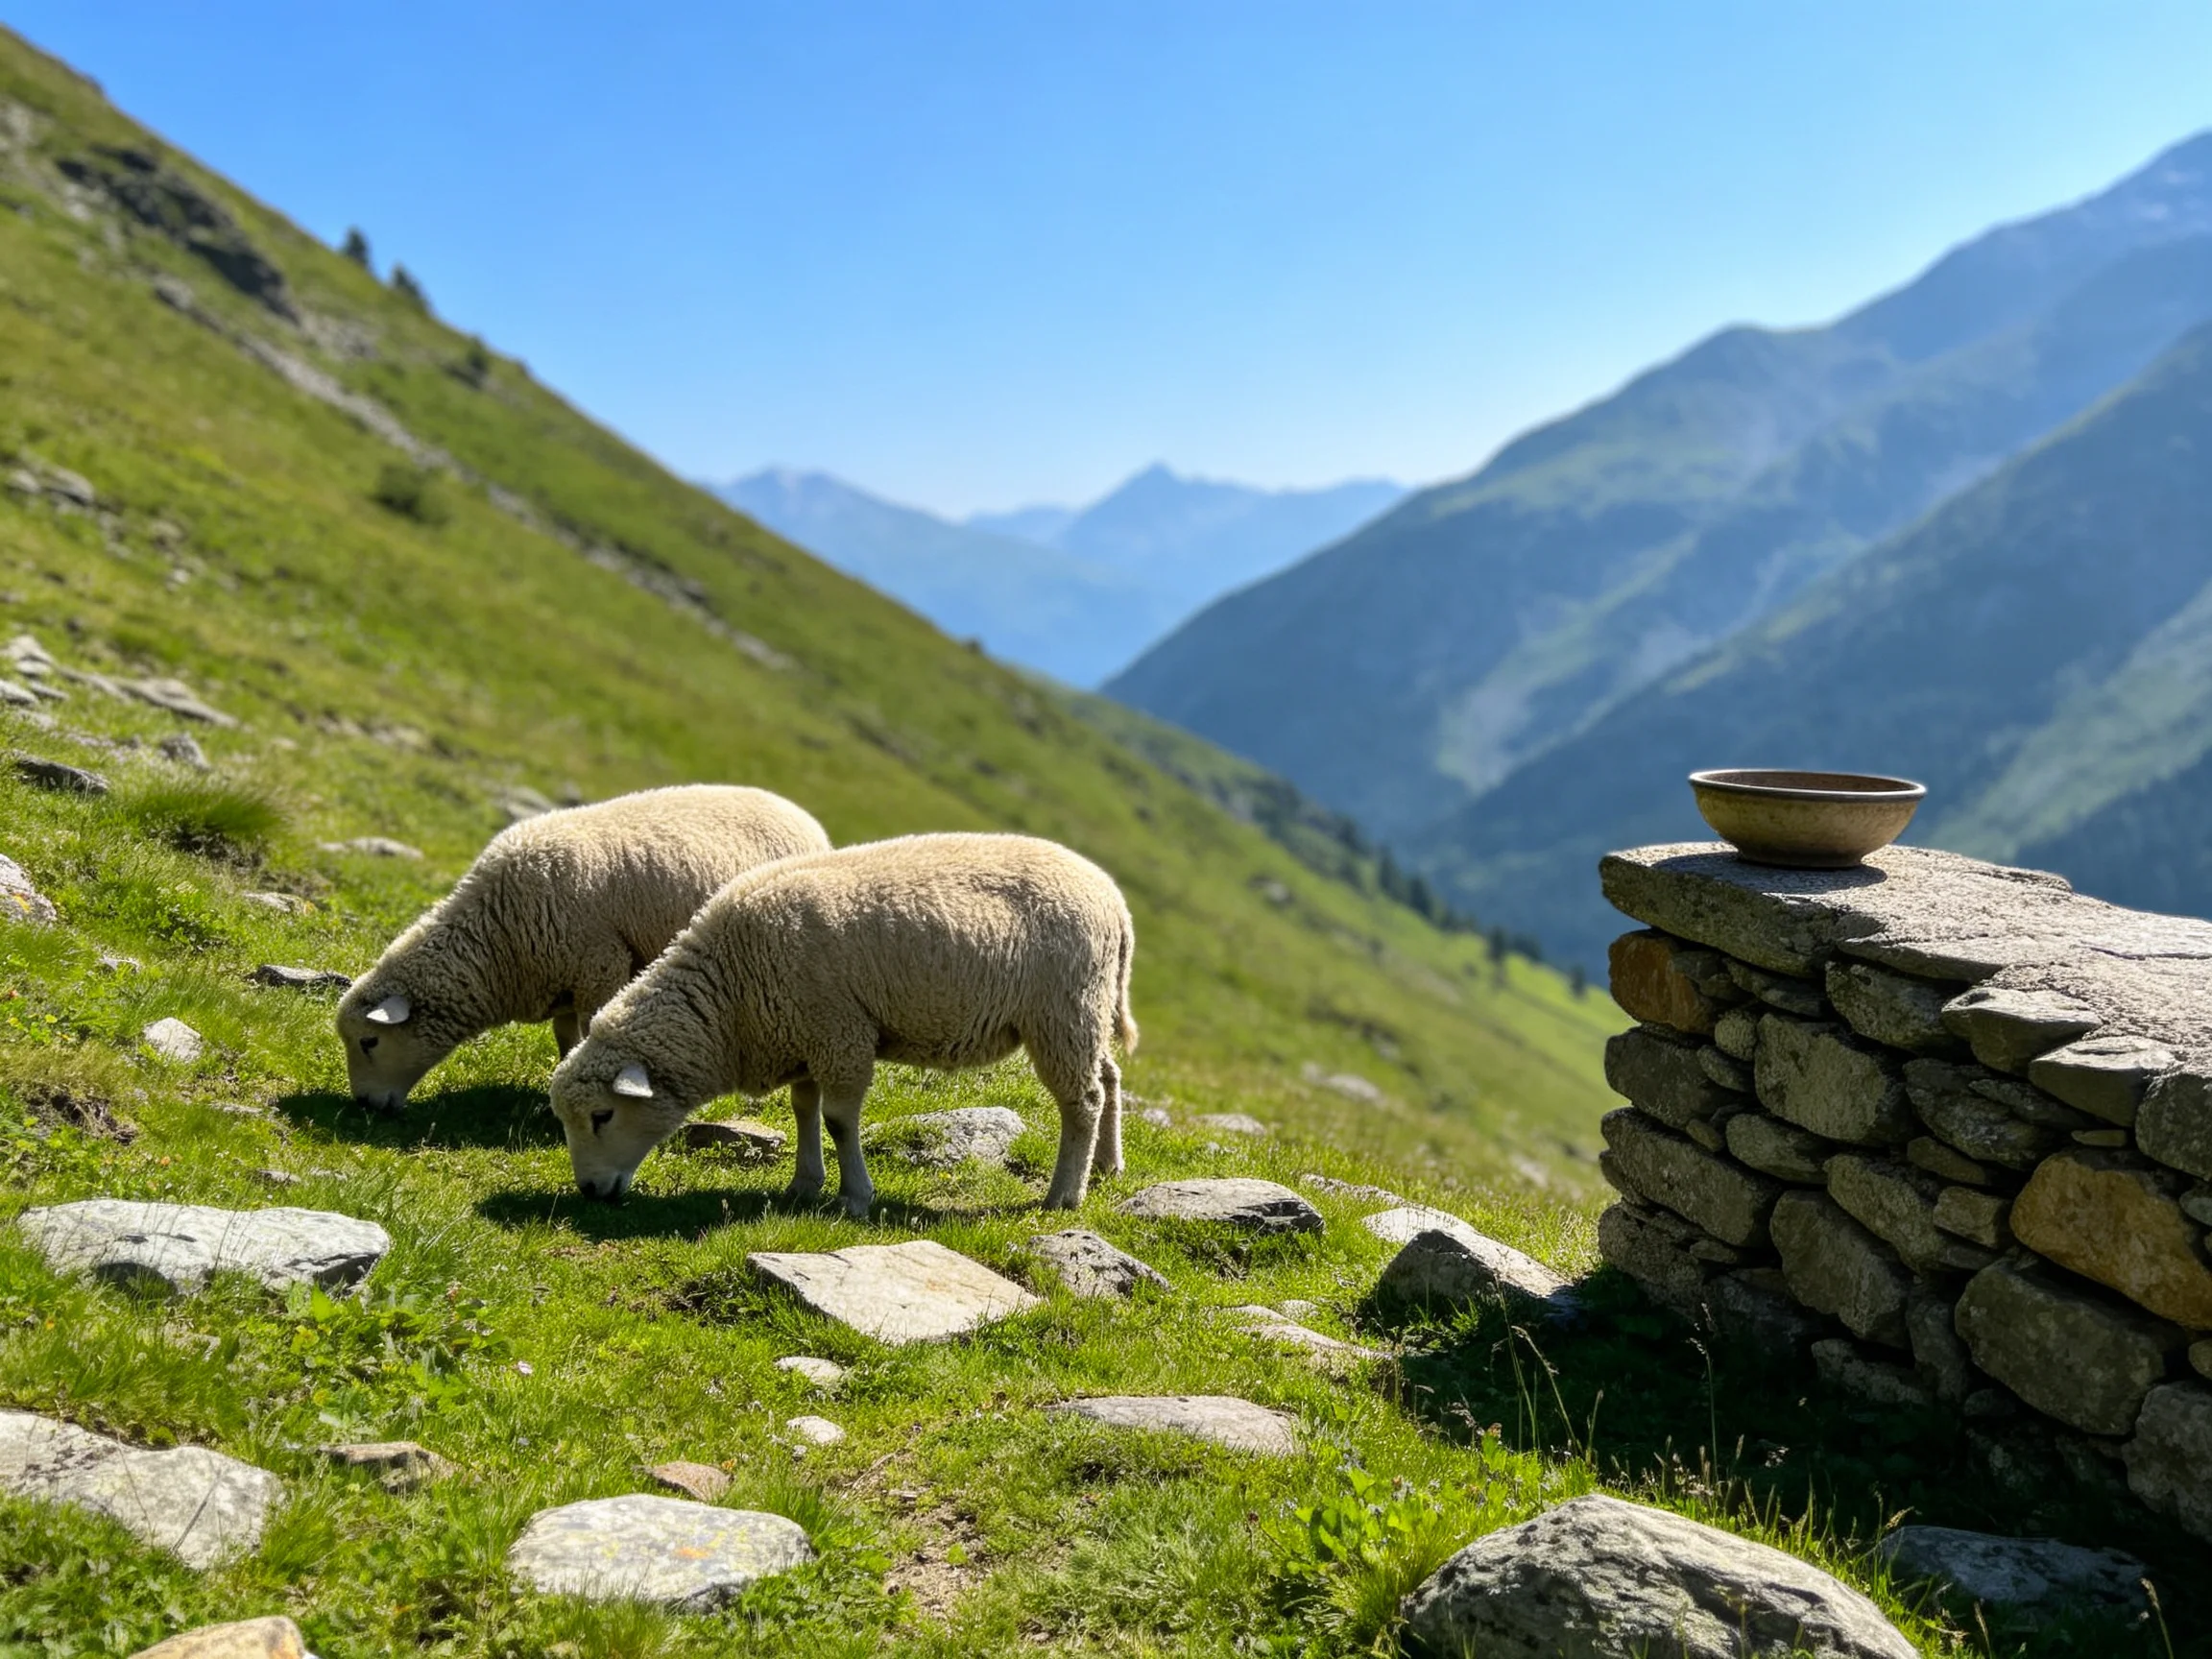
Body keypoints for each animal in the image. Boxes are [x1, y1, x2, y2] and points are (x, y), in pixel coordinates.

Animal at [336, 785, 831, 1111]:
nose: (365, 1104)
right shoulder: (561, 977)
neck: (497, 935)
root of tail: (797, 811)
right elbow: (564, 1035)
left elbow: (592, 1027)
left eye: (369, 1041)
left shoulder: (600, 966)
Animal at [548, 831, 1138, 1215]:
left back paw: (1064, 1195)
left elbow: (837, 1120)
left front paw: (855, 1195)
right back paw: (1107, 1166)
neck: (730, 997)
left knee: (1082, 1100)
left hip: (1061, 1012)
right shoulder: (804, 1033)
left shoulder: (840, 1032)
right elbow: (803, 1109)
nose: (589, 1192)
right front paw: (804, 1183)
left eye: (602, 1115)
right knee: (1109, 1080)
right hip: (1086, 1010)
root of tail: (1114, 901)